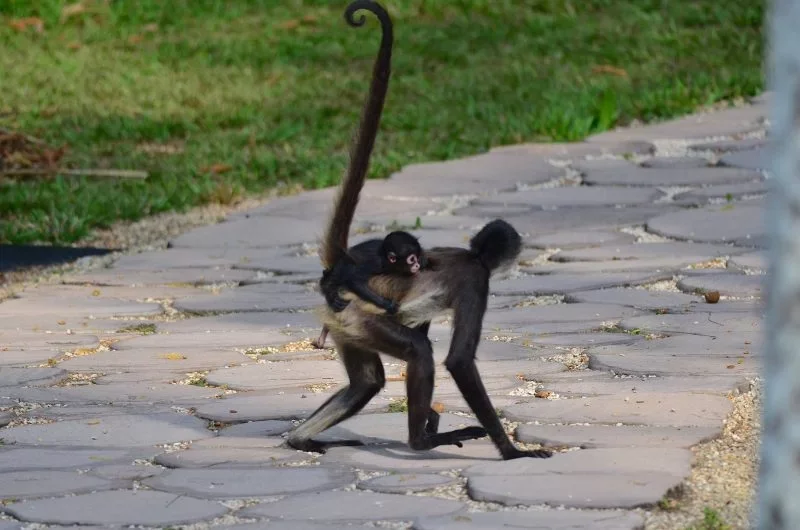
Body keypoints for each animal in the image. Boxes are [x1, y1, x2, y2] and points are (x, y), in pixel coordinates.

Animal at [286, 0, 551, 461]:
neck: (471, 254)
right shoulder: (477, 278)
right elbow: (457, 360)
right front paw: (512, 451)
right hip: (363, 319)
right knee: (418, 351)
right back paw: (421, 442)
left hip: (347, 327)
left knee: (367, 382)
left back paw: (300, 439)